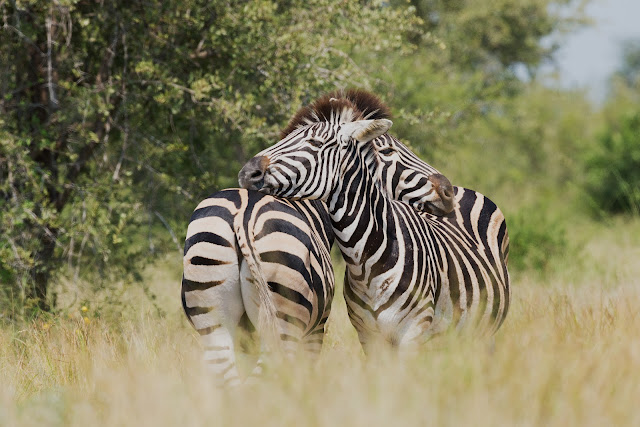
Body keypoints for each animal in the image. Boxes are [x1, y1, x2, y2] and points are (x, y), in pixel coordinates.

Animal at [181, 88, 510, 386]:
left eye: (313, 142)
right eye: (388, 151)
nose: (448, 191)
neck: (370, 260)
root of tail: (243, 215)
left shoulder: (406, 332)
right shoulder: (345, 333)